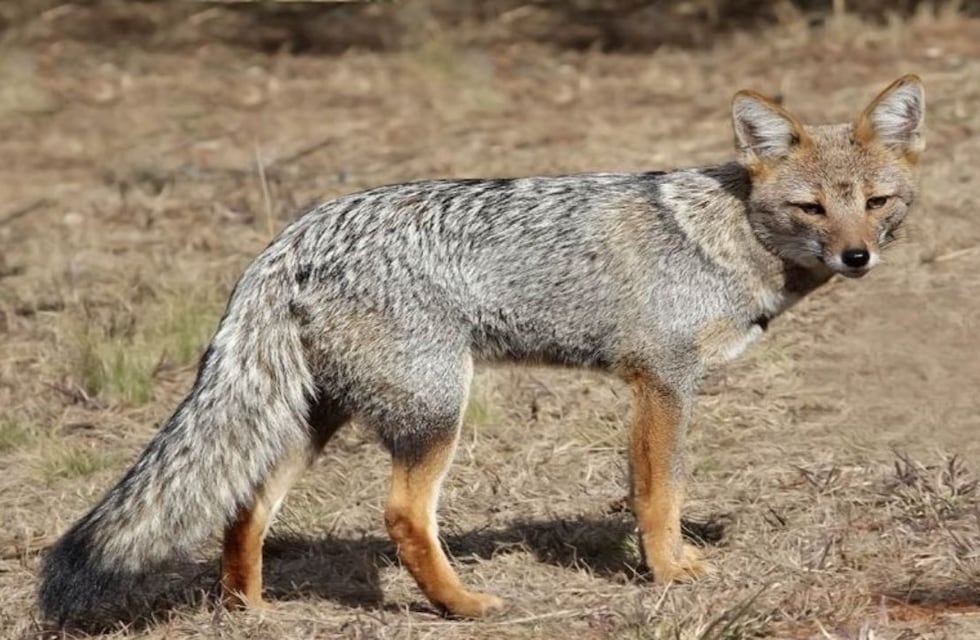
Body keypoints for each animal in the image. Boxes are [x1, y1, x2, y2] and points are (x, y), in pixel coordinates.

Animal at [38, 75, 925, 627]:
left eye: (878, 203)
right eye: (811, 209)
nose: (858, 258)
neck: (726, 235)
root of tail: (296, 232)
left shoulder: (656, 385)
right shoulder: (661, 381)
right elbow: (659, 493)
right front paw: (670, 573)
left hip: (312, 419)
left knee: (245, 506)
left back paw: (252, 612)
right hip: (436, 411)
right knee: (401, 516)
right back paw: (461, 607)